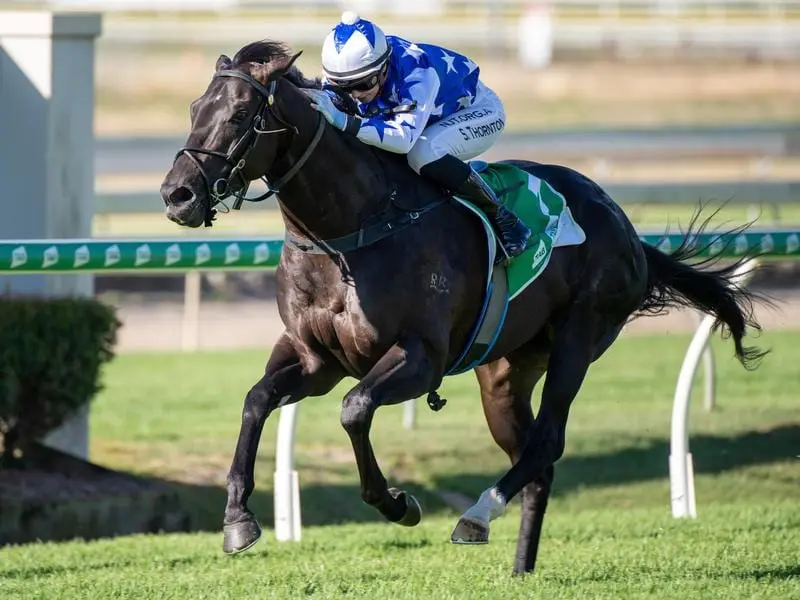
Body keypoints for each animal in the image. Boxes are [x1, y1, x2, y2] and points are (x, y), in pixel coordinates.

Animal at [159, 42, 764, 576]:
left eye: (240, 114)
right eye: (193, 109)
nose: (176, 195)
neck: (350, 231)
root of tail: (629, 231)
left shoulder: (420, 357)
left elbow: (355, 409)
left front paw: (397, 502)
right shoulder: (314, 358)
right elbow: (256, 401)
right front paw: (237, 519)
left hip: (579, 338)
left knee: (548, 438)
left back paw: (476, 515)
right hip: (505, 371)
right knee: (536, 459)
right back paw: (519, 567)